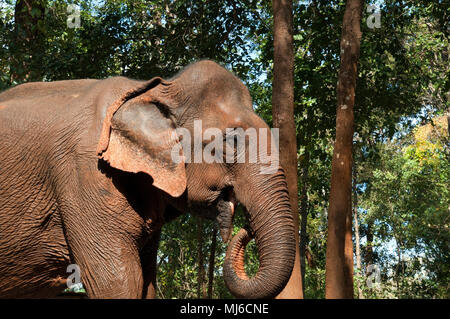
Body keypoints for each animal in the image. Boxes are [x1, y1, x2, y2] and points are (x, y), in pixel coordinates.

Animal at [0, 60, 298, 300]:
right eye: (231, 141)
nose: (243, 226)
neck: (152, 89)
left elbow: (146, 280)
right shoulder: (83, 173)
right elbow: (115, 283)